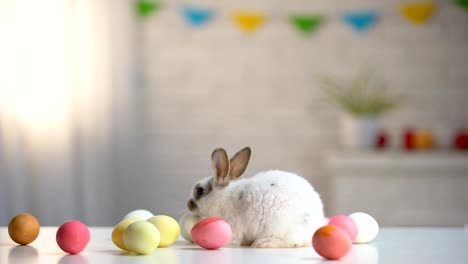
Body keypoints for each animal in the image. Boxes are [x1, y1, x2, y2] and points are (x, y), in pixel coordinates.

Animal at [186, 146, 326, 248]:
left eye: (200, 190)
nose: (188, 204)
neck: (223, 198)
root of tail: (314, 227)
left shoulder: (232, 228)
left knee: (293, 242)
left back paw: (263, 243)